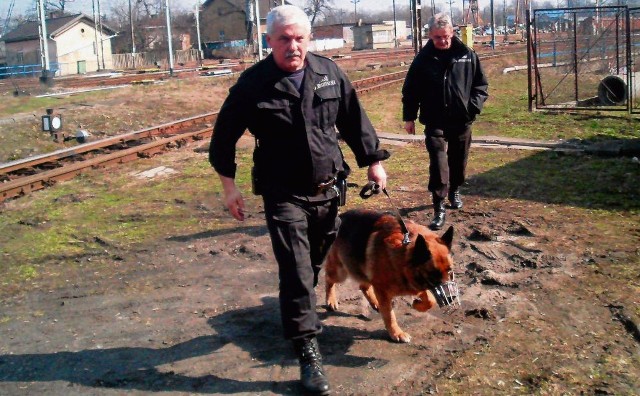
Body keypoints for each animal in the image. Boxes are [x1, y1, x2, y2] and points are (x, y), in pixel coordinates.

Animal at [324, 209, 460, 342]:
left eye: (450, 271)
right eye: (433, 273)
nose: (452, 297)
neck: (403, 254)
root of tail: (340, 216)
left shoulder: (415, 285)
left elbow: (431, 300)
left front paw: (417, 304)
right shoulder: (384, 292)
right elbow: (390, 316)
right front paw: (396, 333)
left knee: (363, 286)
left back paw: (375, 303)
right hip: (340, 273)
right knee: (328, 279)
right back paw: (331, 300)